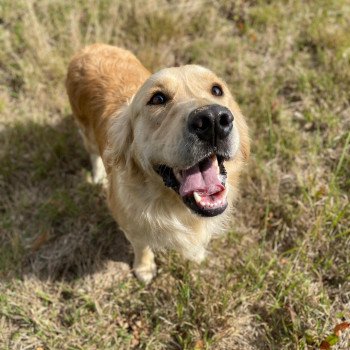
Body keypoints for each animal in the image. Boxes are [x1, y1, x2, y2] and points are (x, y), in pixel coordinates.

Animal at [65, 43, 250, 284]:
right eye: (158, 98)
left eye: (217, 90)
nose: (213, 120)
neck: (173, 205)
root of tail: (90, 47)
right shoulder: (131, 224)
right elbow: (142, 246)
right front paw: (144, 269)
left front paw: (197, 255)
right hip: (85, 131)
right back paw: (97, 177)